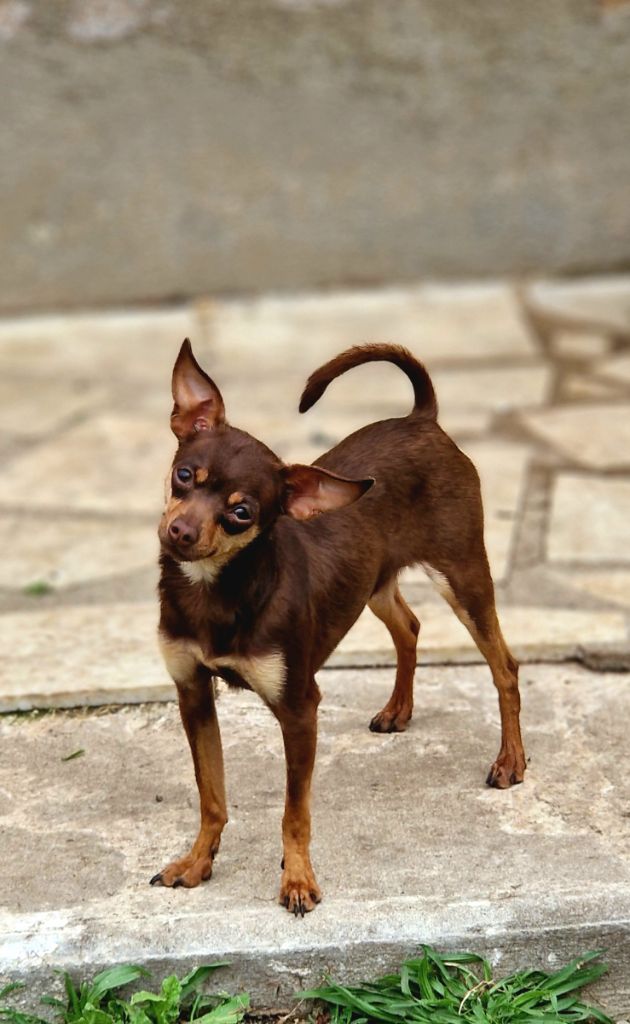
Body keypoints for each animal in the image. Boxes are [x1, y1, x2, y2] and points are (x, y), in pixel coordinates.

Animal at [152, 339, 528, 917]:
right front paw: (197, 862)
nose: (180, 531)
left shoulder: (299, 708)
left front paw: (298, 879)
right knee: (409, 626)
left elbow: (294, 812)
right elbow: (211, 794)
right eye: (185, 476)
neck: (216, 590)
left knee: (503, 665)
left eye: (242, 513)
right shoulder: (192, 691)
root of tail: (422, 419)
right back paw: (399, 709)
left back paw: (510, 760)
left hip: (463, 576)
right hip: (374, 583)